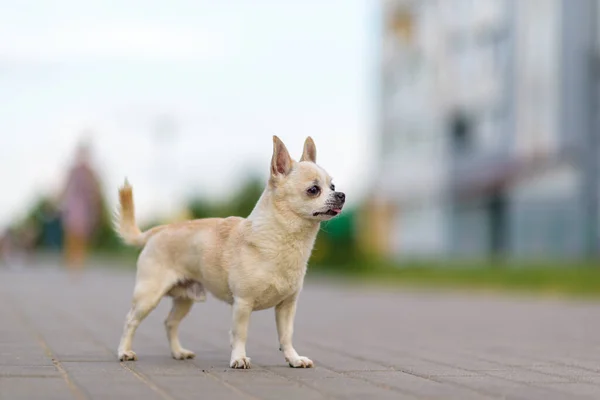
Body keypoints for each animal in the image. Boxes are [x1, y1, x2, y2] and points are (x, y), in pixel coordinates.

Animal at [115, 136, 344, 368]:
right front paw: (239, 358)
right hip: (148, 296)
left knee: (170, 322)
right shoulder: (242, 303)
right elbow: (240, 334)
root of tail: (158, 230)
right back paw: (124, 352)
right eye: (313, 190)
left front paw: (294, 359)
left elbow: (286, 336)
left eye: (332, 186)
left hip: (185, 299)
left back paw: (178, 352)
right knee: (130, 321)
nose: (341, 194)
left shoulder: (286, 306)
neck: (285, 239)